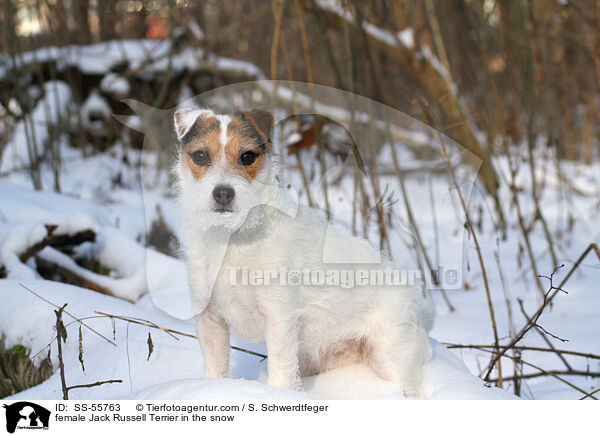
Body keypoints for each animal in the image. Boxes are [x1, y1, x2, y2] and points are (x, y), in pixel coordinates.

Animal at [171, 107, 434, 396]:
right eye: (200, 155)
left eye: (247, 156)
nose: (223, 194)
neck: (232, 236)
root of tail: (417, 300)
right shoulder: (210, 319)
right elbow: (216, 367)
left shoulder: (279, 319)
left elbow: (281, 372)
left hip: (390, 356)